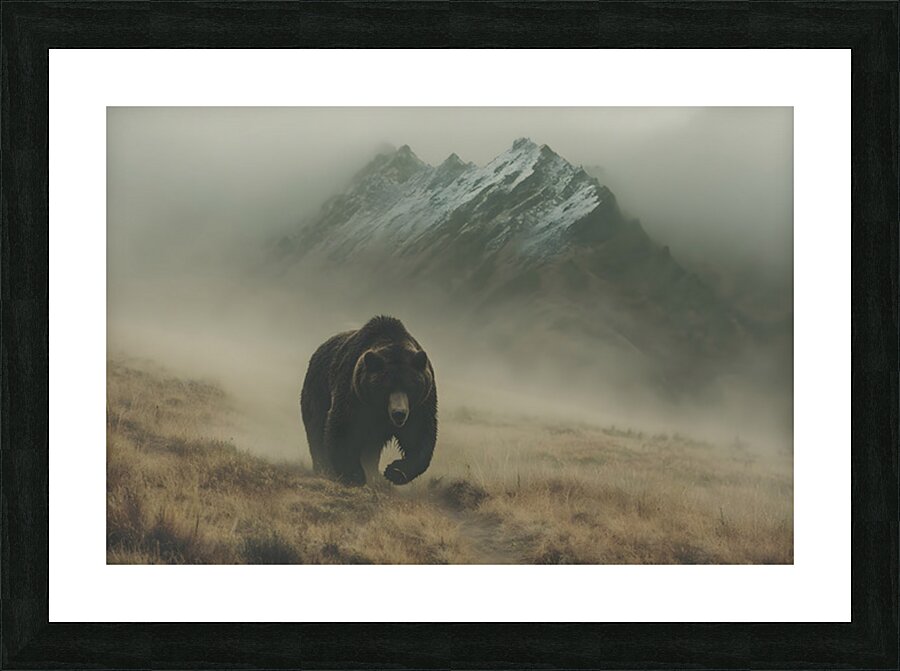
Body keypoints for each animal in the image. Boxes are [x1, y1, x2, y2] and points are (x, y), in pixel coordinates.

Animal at [300, 316, 437, 486]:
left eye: (410, 387)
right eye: (385, 388)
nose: (399, 413)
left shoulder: (421, 404)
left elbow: (419, 435)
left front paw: (394, 471)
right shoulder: (353, 392)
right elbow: (344, 427)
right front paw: (354, 474)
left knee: (372, 448)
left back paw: (374, 474)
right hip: (318, 389)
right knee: (316, 427)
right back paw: (324, 469)